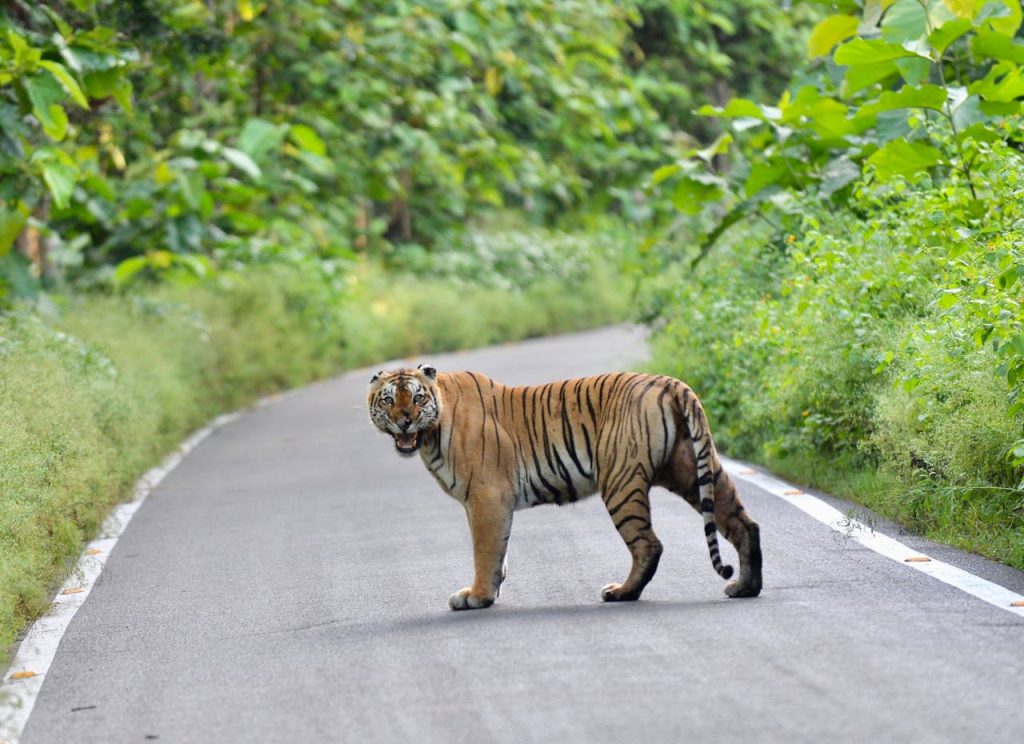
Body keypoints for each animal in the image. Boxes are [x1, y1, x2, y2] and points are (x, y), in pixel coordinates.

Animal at [367, 365, 762, 610]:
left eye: (417, 398)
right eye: (389, 399)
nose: (405, 421)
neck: (431, 434)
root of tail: (669, 383)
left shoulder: (486, 497)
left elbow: (485, 551)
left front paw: (477, 596)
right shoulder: (489, 503)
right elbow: (499, 551)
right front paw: (490, 589)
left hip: (620, 482)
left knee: (649, 544)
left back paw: (621, 593)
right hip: (691, 470)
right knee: (745, 524)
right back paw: (746, 587)